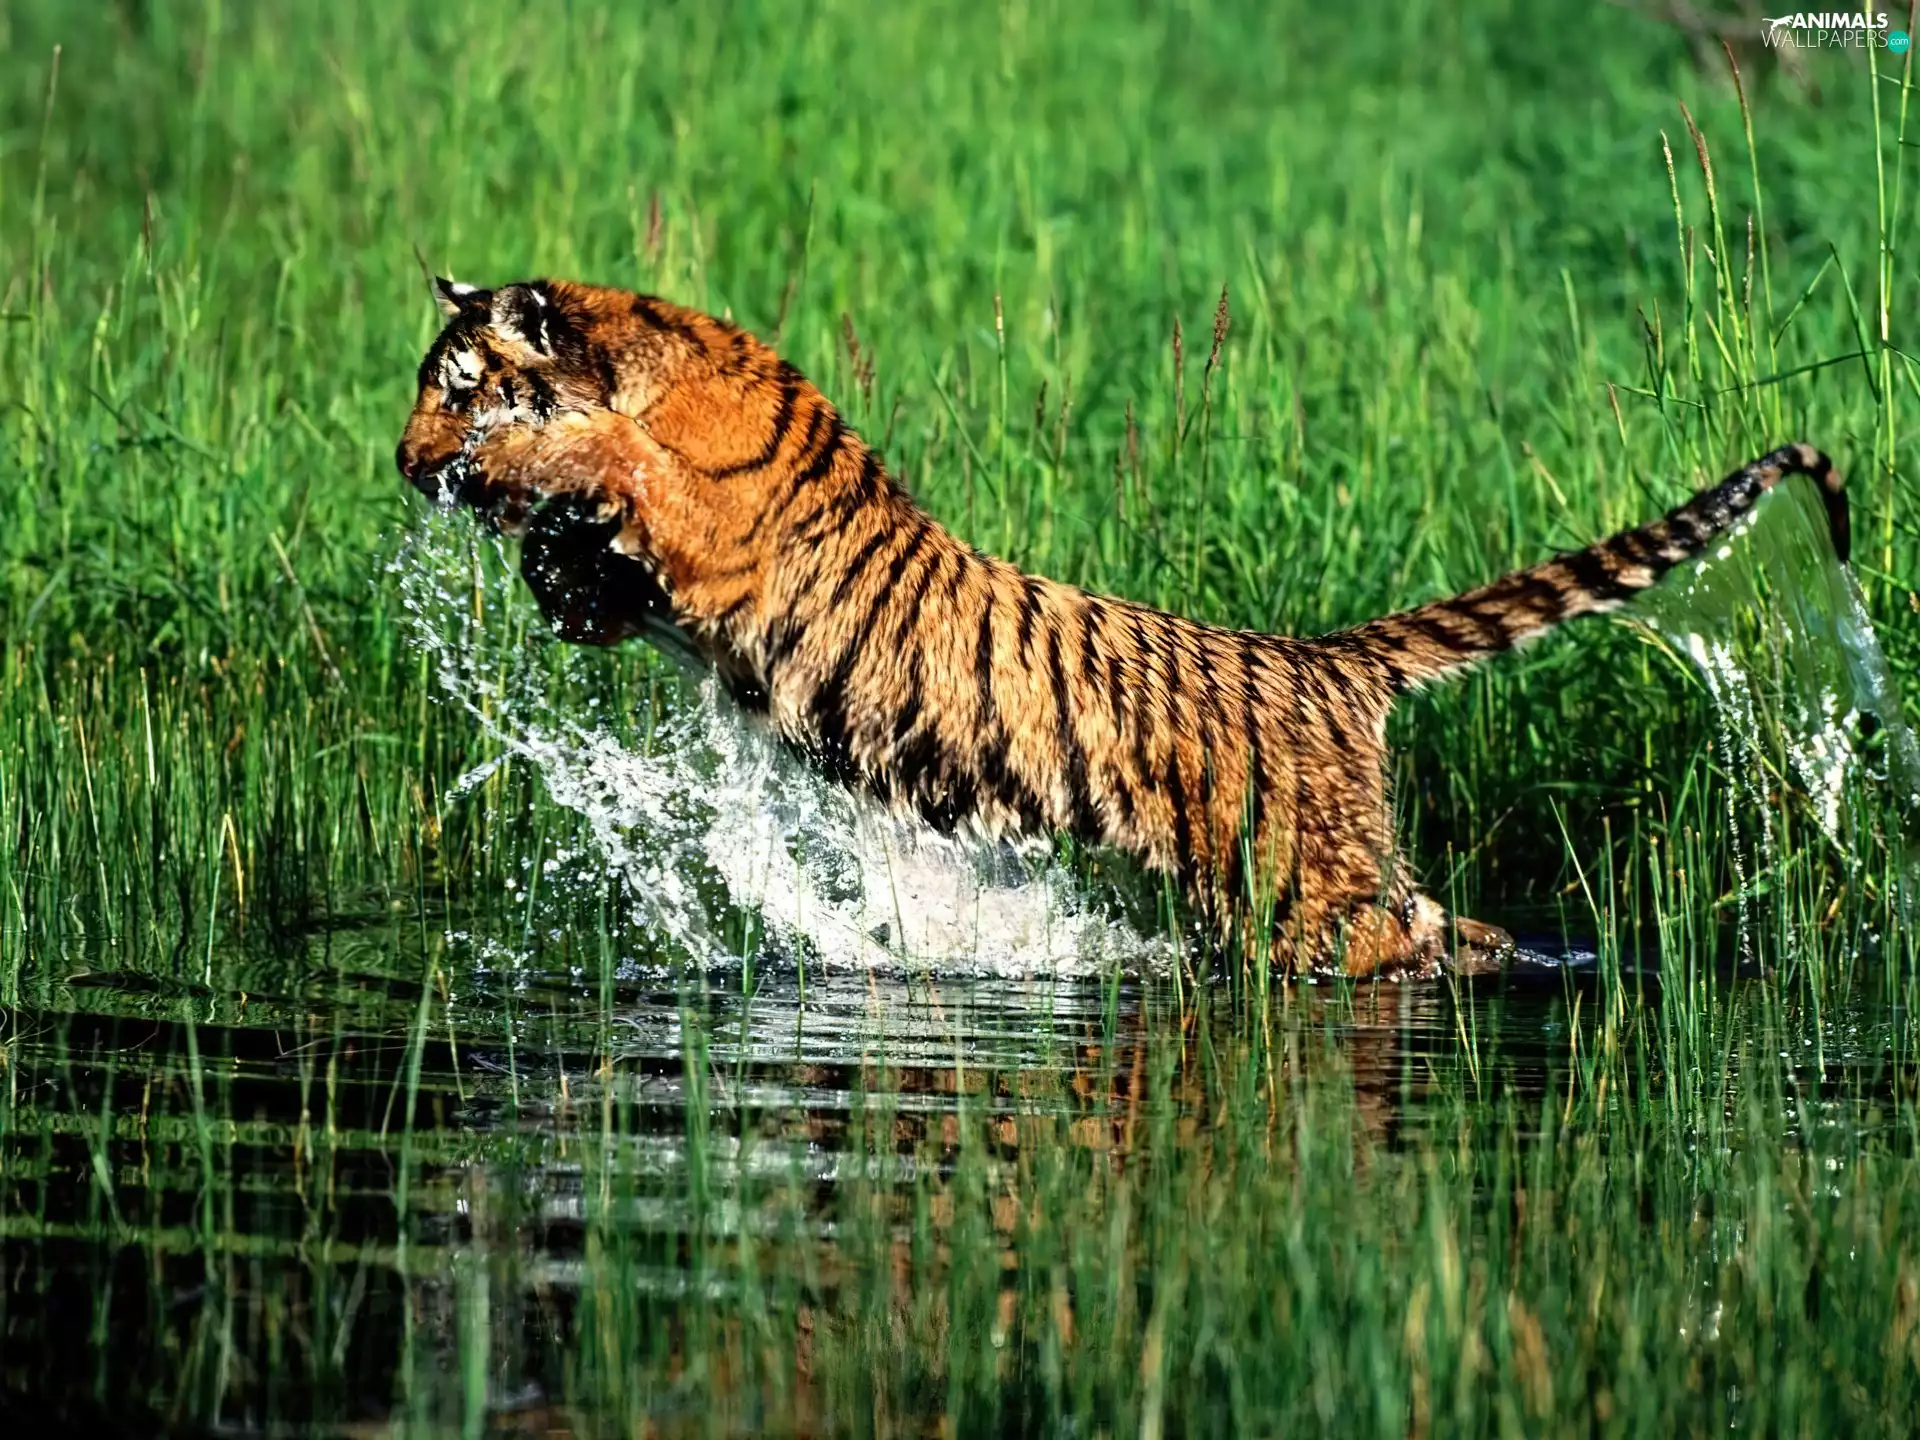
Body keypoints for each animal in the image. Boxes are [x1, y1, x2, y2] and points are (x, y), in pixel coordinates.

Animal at [395, 277, 1848, 977]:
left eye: (454, 390)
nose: (406, 467)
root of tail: (1329, 660)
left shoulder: (717, 530)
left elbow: (614, 458)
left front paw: (524, 469)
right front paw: (551, 560)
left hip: (1309, 892)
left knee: (1405, 937)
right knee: (1446, 919)